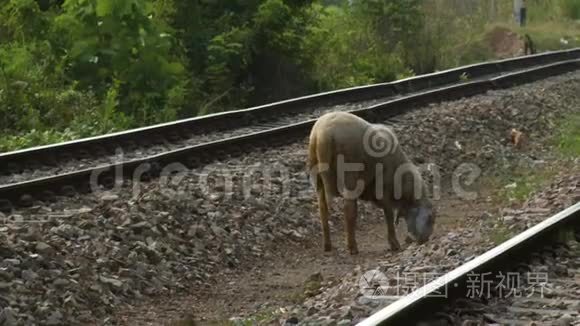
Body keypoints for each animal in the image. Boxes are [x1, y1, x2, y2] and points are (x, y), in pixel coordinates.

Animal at [308, 111, 436, 255]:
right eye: (431, 218)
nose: (425, 240)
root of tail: (323, 134)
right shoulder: (384, 191)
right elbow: (389, 215)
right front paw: (394, 244)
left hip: (317, 176)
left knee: (322, 209)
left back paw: (327, 245)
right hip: (350, 174)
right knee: (349, 210)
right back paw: (352, 247)